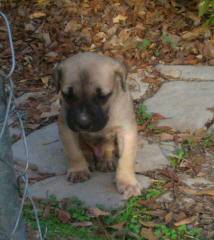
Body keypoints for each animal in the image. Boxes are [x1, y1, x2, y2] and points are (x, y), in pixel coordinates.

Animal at [54, 53, 140, 199]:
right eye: (67, 95)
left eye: (102, 96)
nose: (83, 123)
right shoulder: (66, 127)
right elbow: (73, 152)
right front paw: (78, 170)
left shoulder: (127, 131)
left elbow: (126, 158)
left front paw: (127, 182)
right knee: (84, 150)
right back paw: (88, 160)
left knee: (108, 147)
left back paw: (106, 161)